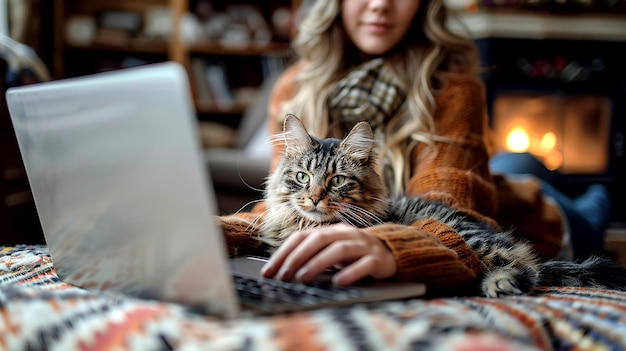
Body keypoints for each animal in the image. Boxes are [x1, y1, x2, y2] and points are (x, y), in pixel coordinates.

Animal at [256, 115, 620, 296]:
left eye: (337, 181)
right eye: (302, 176)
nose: (315, 197)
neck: (306, 225)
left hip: (474, 239)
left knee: (525, 262)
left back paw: (499, 284)